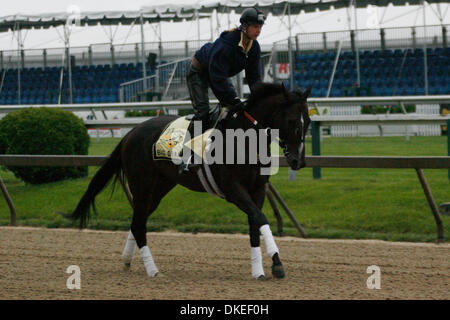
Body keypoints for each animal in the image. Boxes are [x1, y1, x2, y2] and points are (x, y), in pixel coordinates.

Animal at [70, 82, 312, 278]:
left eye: (308, 121)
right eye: (293, 121)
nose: (299, 160)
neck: (246, 139)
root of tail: (130, 133)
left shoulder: (258, 189)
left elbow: (255, 224)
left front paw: (260, 269)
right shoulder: (233, 189)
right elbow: (260, 218)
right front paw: (276, 263)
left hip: (158, 188)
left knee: (137, 221)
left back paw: (127, 260)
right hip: (142, 185)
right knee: (139, 225)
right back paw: (153, 270)